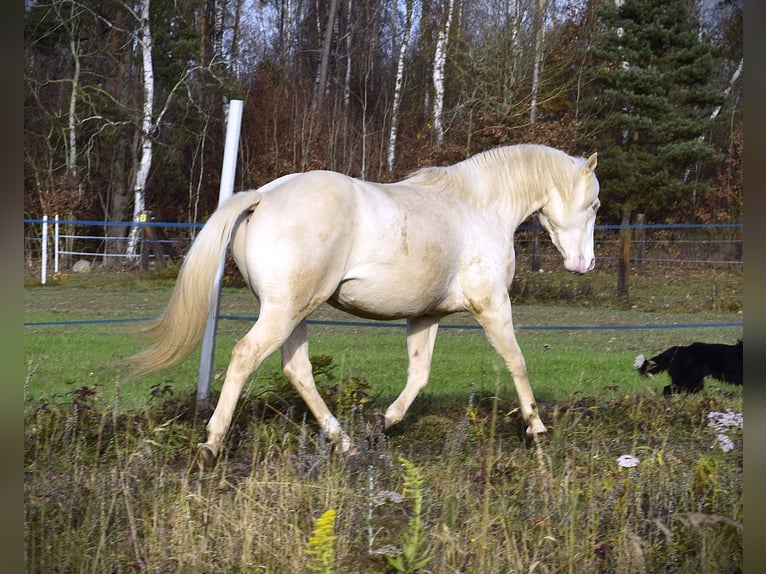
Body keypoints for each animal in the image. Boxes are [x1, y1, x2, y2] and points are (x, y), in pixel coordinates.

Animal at [128, 144, 600, 468]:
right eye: (594, 204)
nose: (585, 264)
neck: (479, 208)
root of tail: (262, 196)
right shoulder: (492, 305)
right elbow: (516, 362)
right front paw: (537, 430)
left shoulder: (425, 315)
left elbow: (419, 375)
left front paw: (384, 422)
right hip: (284, 312)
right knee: (246, 356)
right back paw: (211, 444)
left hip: (292, 312)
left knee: (297, 371)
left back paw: (347, 443)